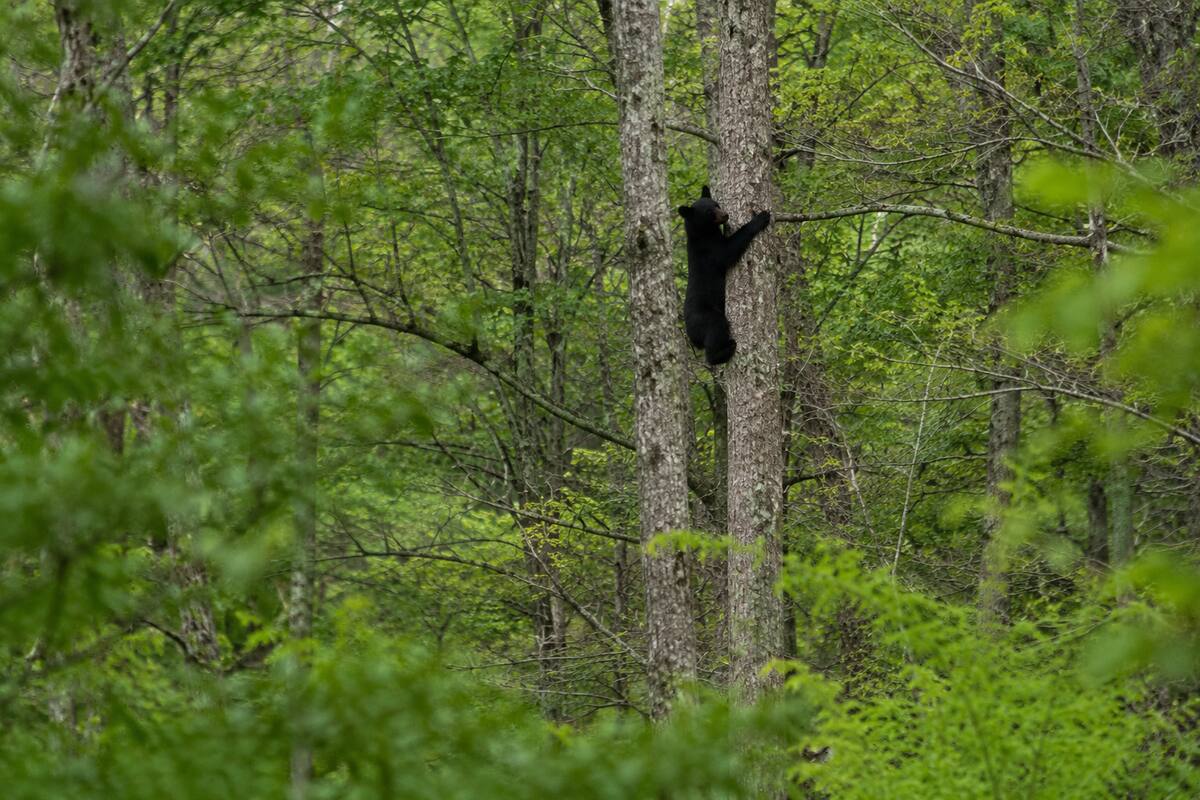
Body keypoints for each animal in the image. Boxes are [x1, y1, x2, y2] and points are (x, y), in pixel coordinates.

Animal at [678, 185, 771, 365]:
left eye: (717, 204)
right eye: (709, 211)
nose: (726, 214)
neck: (702, 234)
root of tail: (692, 338)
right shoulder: (708, 250)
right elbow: (728, 252)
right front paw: (761, 217)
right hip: (703, 317)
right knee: (716, 326)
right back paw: (724, 351)